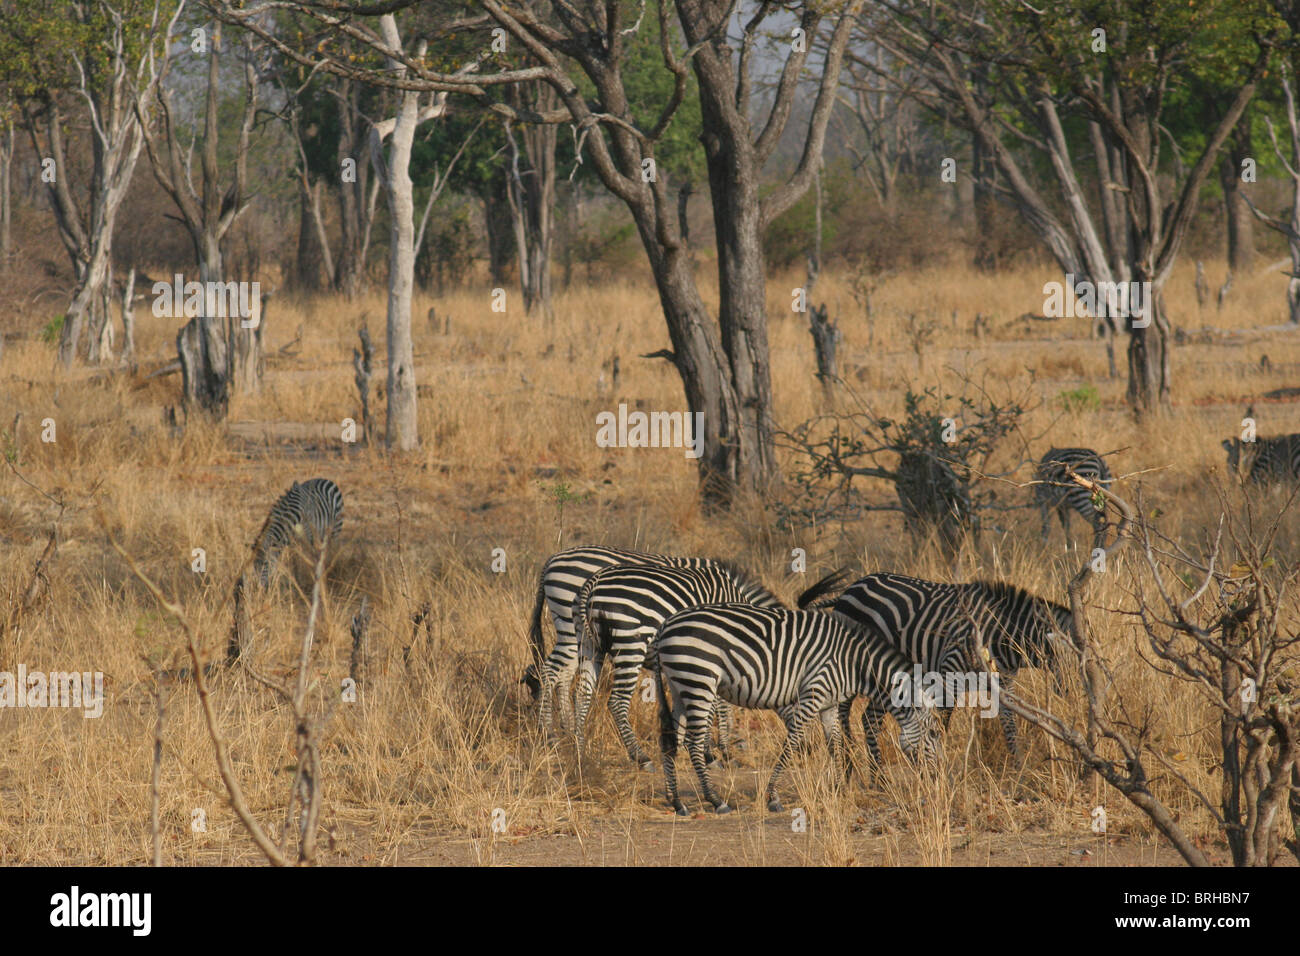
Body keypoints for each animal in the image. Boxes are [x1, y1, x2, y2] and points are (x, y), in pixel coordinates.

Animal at [574, 561, 847, 770]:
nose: (809, 749)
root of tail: (594, 581)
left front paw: (697, 747)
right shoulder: (716, 657)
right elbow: (719, 707)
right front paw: (715, 753)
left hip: (589, 645)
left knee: (582, 694)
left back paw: (578, 750)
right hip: (631, 642)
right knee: (617, 701)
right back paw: (641, 757)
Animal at [655, 606, 941, 816]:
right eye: (934, 734)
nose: (938, 780)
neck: (854, 663)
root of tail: (666, 624)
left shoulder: (829, 702)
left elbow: (834, 743)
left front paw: (839, 788)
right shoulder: (813, 693)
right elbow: (792, 743)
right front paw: (773, 796)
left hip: (680, 684)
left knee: (671, 739)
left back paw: (677, 802)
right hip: (699, 680)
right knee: (692, 742)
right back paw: (716, 800)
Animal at [832, 567, 1076, 764]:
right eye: (1070, 662)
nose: (1068, 695)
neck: (999, 634)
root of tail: (854, 584)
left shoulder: (1004, 682)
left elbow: (1010, 726)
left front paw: (1019, 769)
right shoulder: (949, 675)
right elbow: (940, 726)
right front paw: (941, 773)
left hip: (885, 675)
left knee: (869, 720)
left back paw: (878, 779)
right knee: (844, 713)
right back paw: (848, 763)